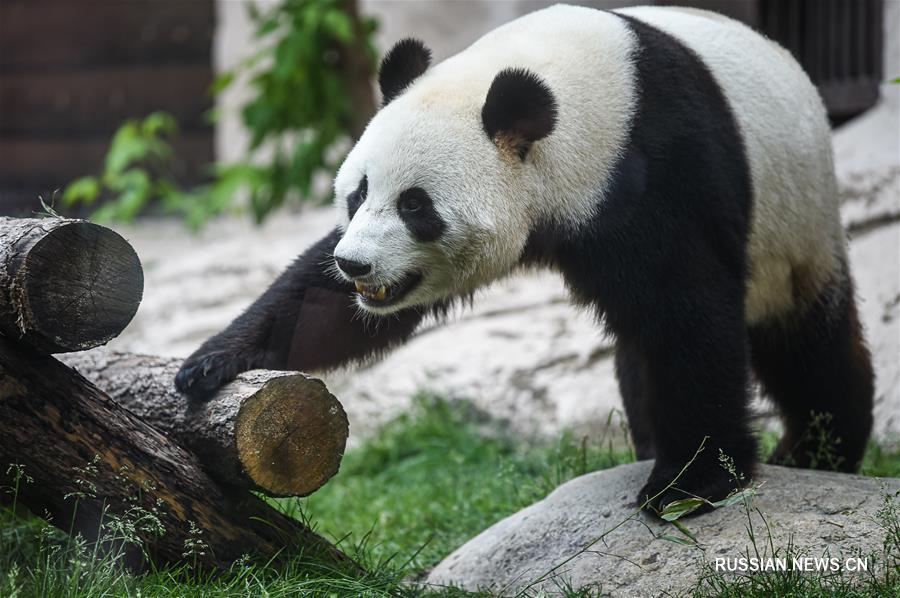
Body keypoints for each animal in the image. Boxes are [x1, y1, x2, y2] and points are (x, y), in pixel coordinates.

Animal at [176, 2, 872, 512]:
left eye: (415, 206)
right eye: (358, 193)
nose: (357, 268)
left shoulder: (661, 168)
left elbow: (689, 314)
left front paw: (689, 486)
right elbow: (321, 307)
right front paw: (210, 363)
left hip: (794, 226)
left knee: (806, 342)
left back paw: (819, 449)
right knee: (638, 349)